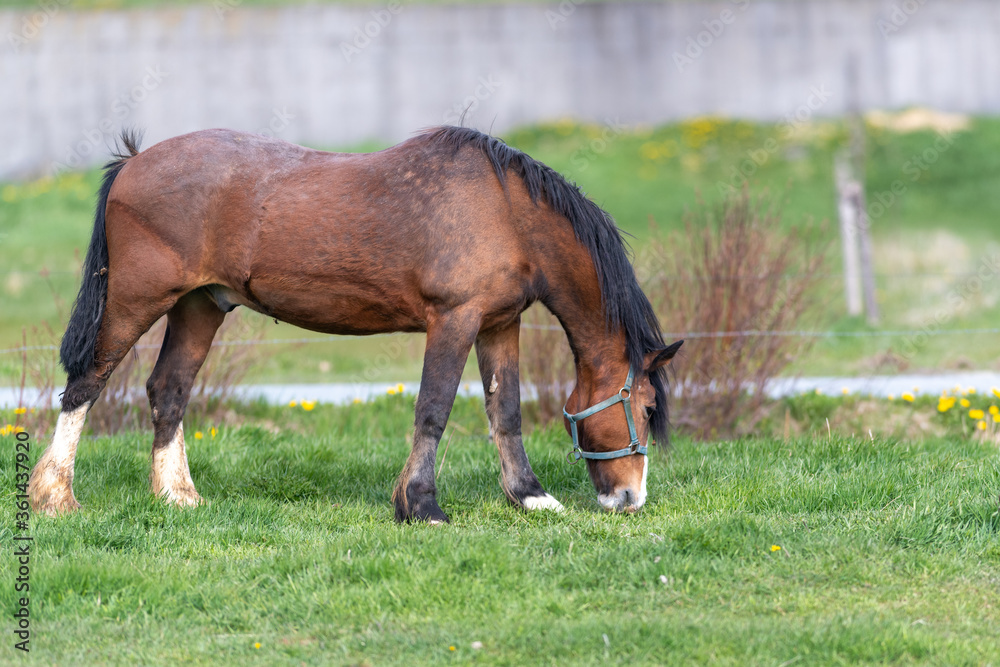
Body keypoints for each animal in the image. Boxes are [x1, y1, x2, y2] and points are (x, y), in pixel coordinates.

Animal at [28, 126, 683, 523]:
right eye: (647, 406)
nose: (630, 498)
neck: (507, 213)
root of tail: (134, 161)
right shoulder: (454, 320)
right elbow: (434, 409)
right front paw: (421, 506)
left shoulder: (499, 325)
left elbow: (507, 411)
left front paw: (530, 496)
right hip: (136, 301)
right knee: (86, 383)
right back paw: (54, 496)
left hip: (199, 307)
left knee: (168, 390)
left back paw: (178, 496)